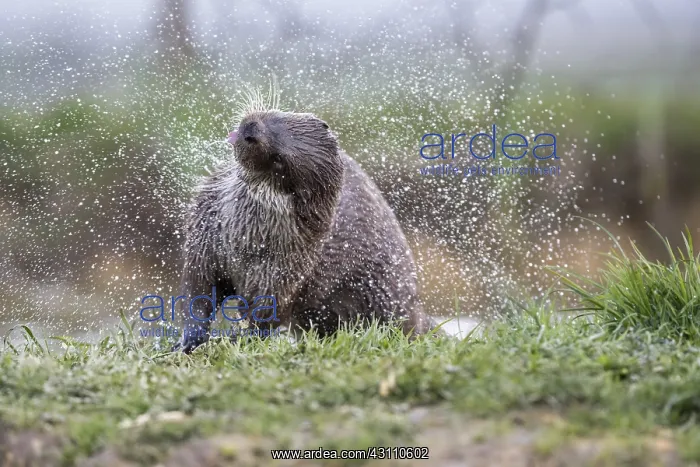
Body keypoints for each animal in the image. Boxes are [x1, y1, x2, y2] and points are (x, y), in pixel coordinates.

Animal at [173, 104, 433, 352]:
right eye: (278, 120)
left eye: (278, 160)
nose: (250, 131)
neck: (240, 240)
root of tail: (418, 310)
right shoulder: (204, 244)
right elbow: (197, 295)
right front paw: (188, 341)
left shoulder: (281, 276)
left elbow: (265, 317)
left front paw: (239, 340)